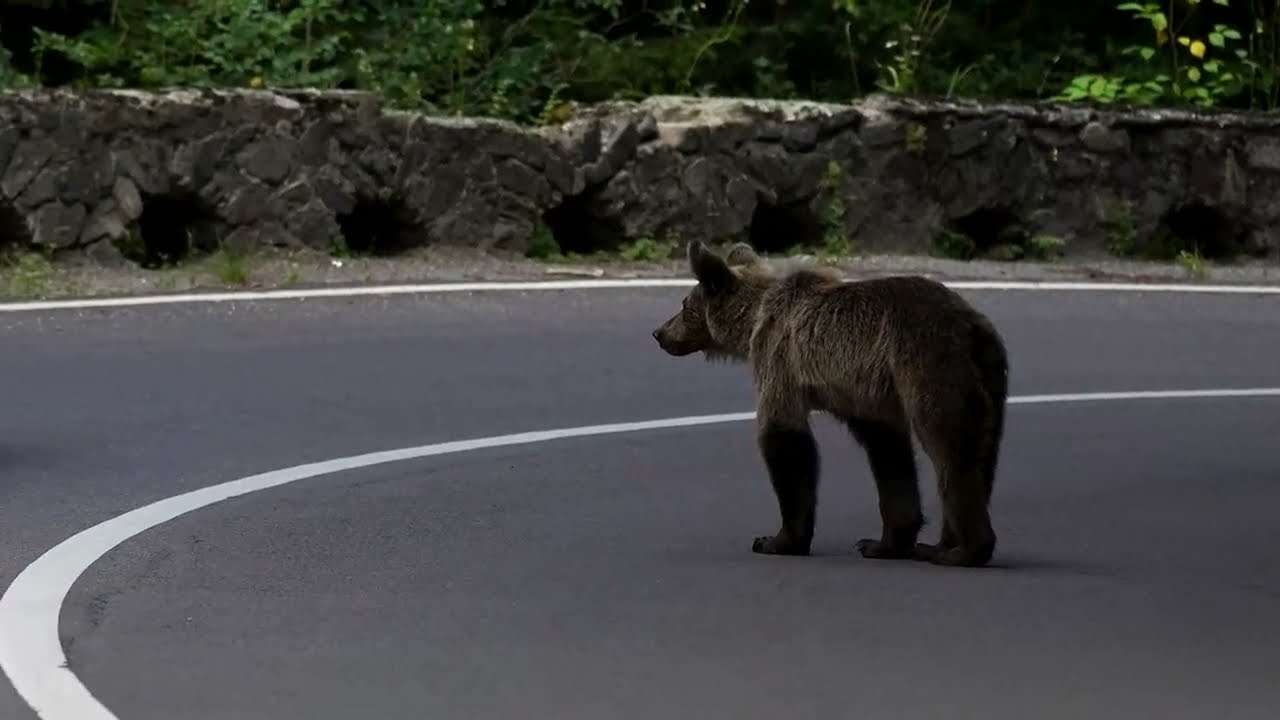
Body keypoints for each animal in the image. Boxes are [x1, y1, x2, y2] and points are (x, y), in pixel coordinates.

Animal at [651, 240, 1009, 568]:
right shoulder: (865, 395)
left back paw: (962, 552)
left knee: (951, 447)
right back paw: (940, 544)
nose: (659, 332)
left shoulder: (780, 360)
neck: (753, 321)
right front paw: (882, 543)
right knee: (983, 450)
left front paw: (778, 540)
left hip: (928, 362)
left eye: (684, 304)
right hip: (990, 376)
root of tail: (971, 324)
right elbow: (889, 454)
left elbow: (785, 438)